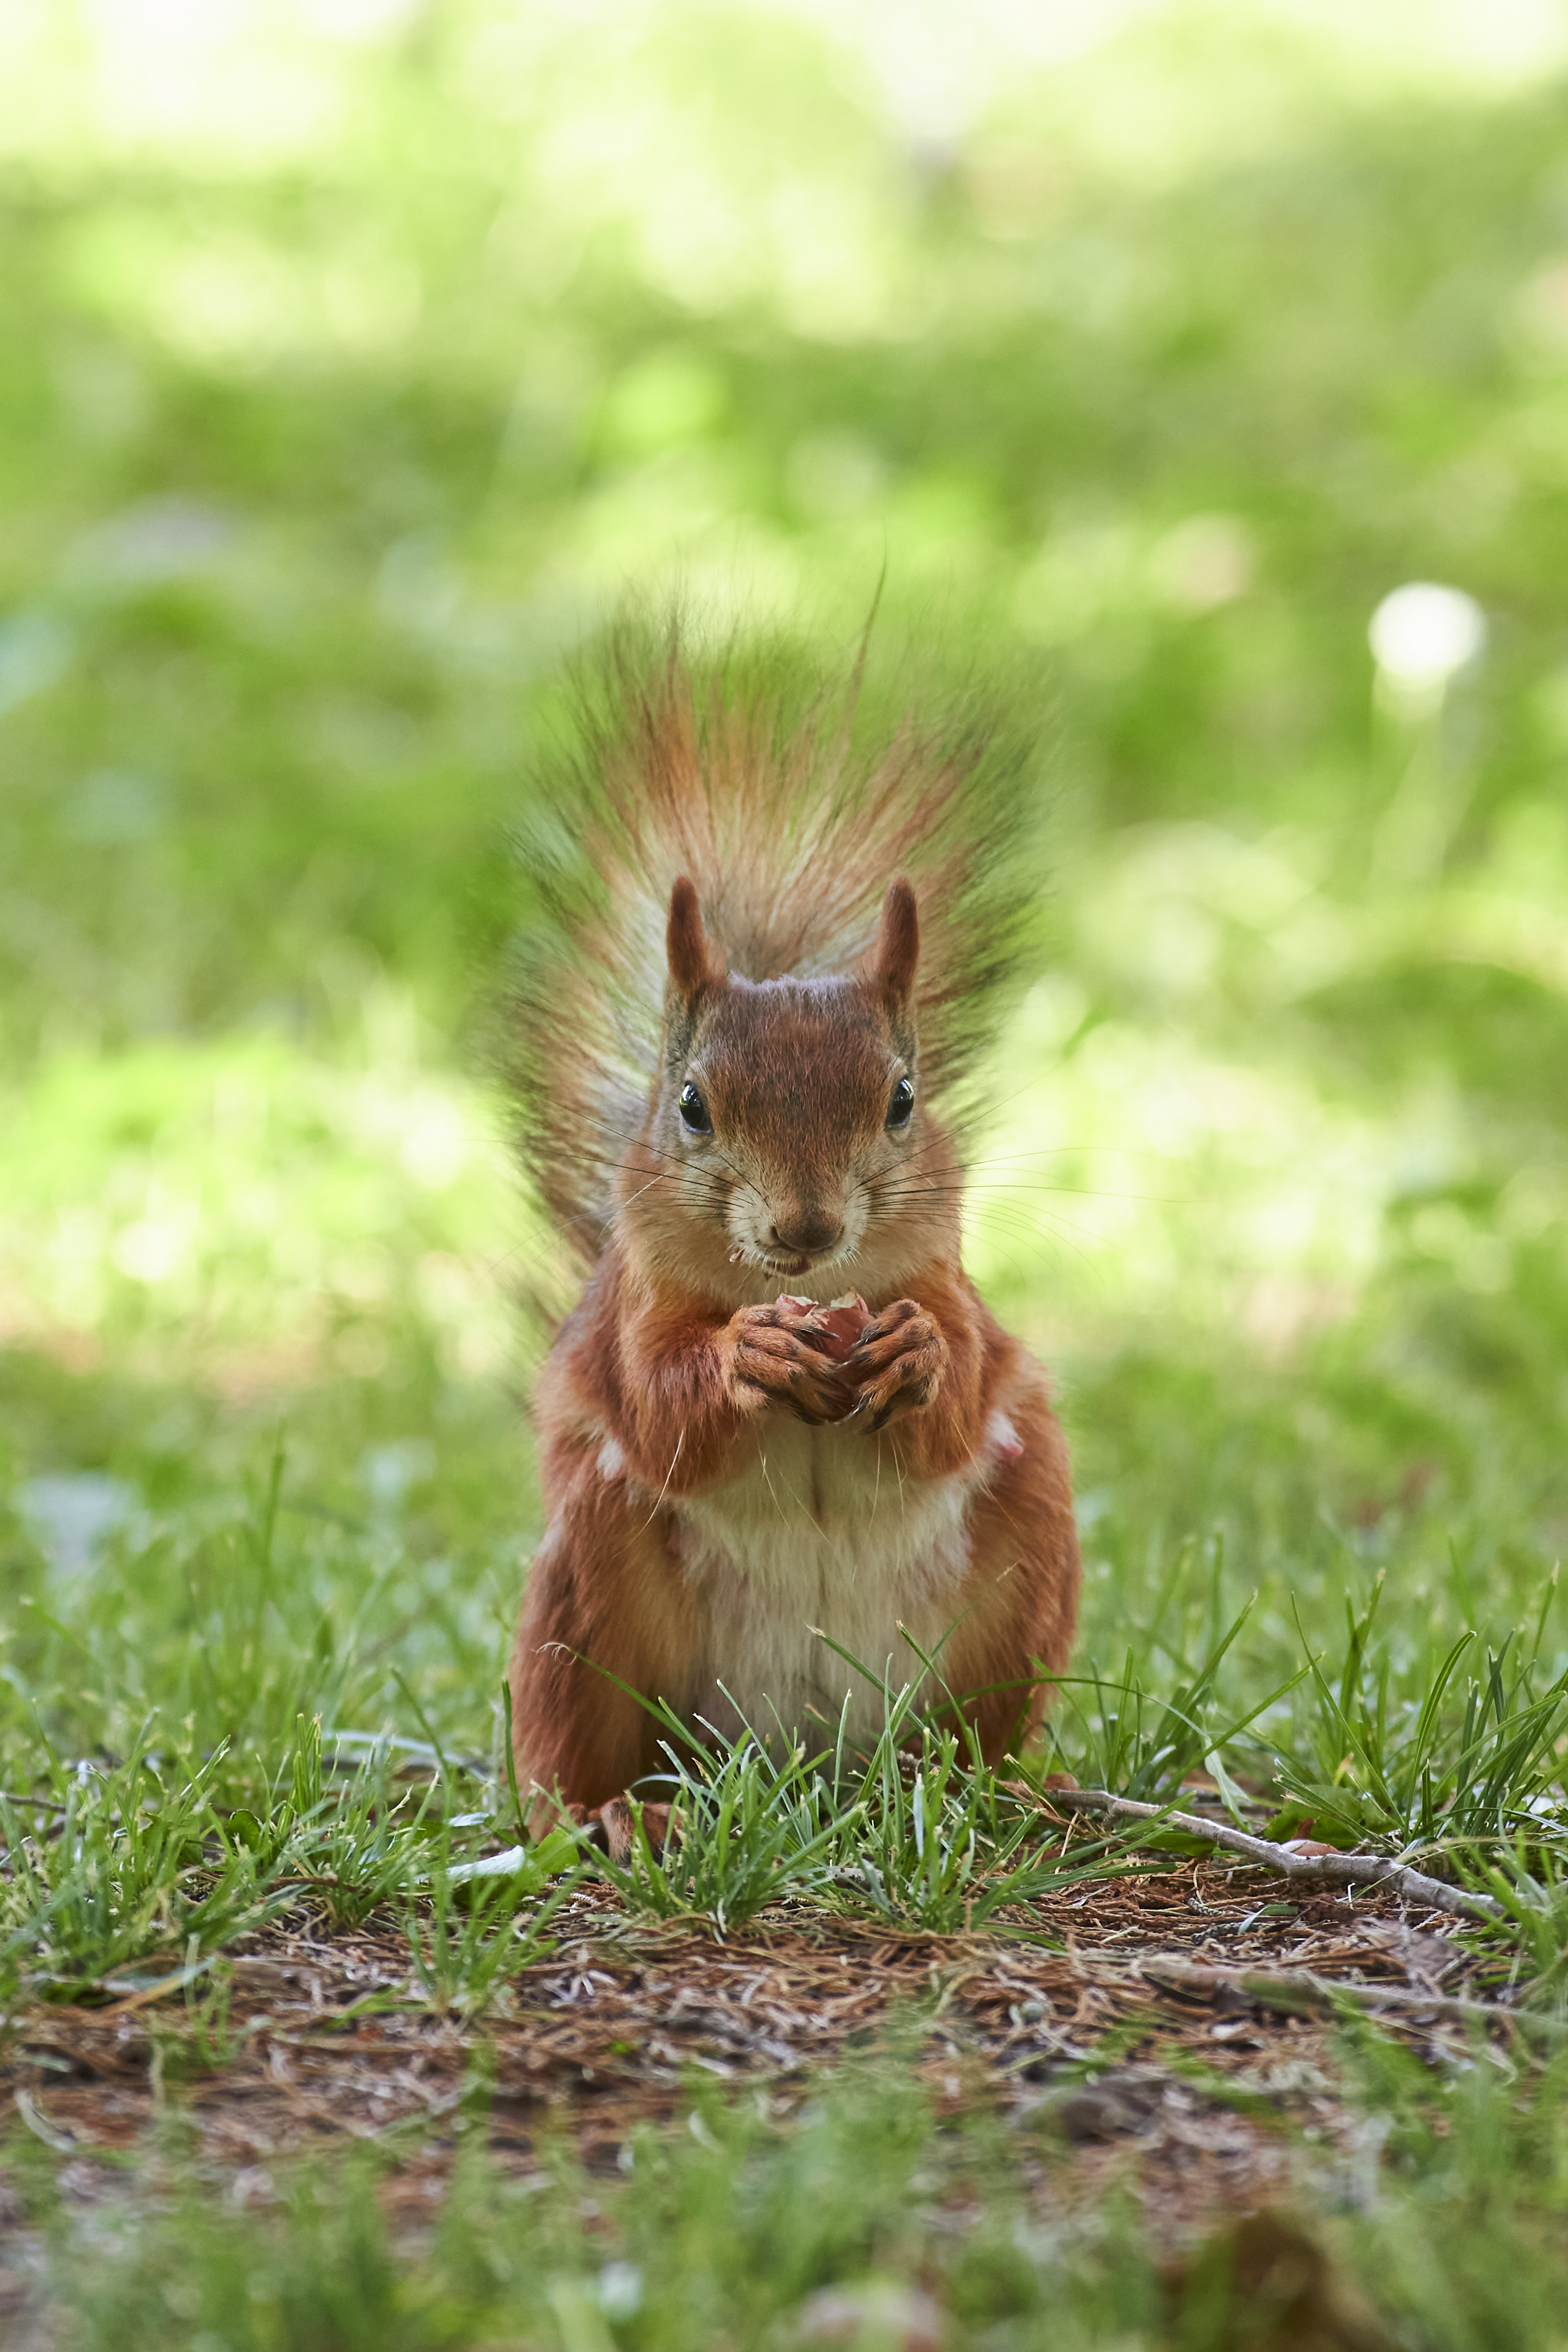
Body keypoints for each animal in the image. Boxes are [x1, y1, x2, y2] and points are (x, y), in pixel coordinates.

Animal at [504, 622, 1081, 1854]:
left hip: (1022, 1559)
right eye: (690, 1105)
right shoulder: (630, 1314)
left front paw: (915, 1354)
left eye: (903, 1099)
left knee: (972, 1726)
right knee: (572, 1744)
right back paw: (613, 1811)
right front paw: (747, 1355)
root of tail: (804, 1761)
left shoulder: (950, 1281)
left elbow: (961, 1384)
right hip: (588, 1598)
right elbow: (662, 1409)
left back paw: (1001, 1785)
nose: (804, 1228)